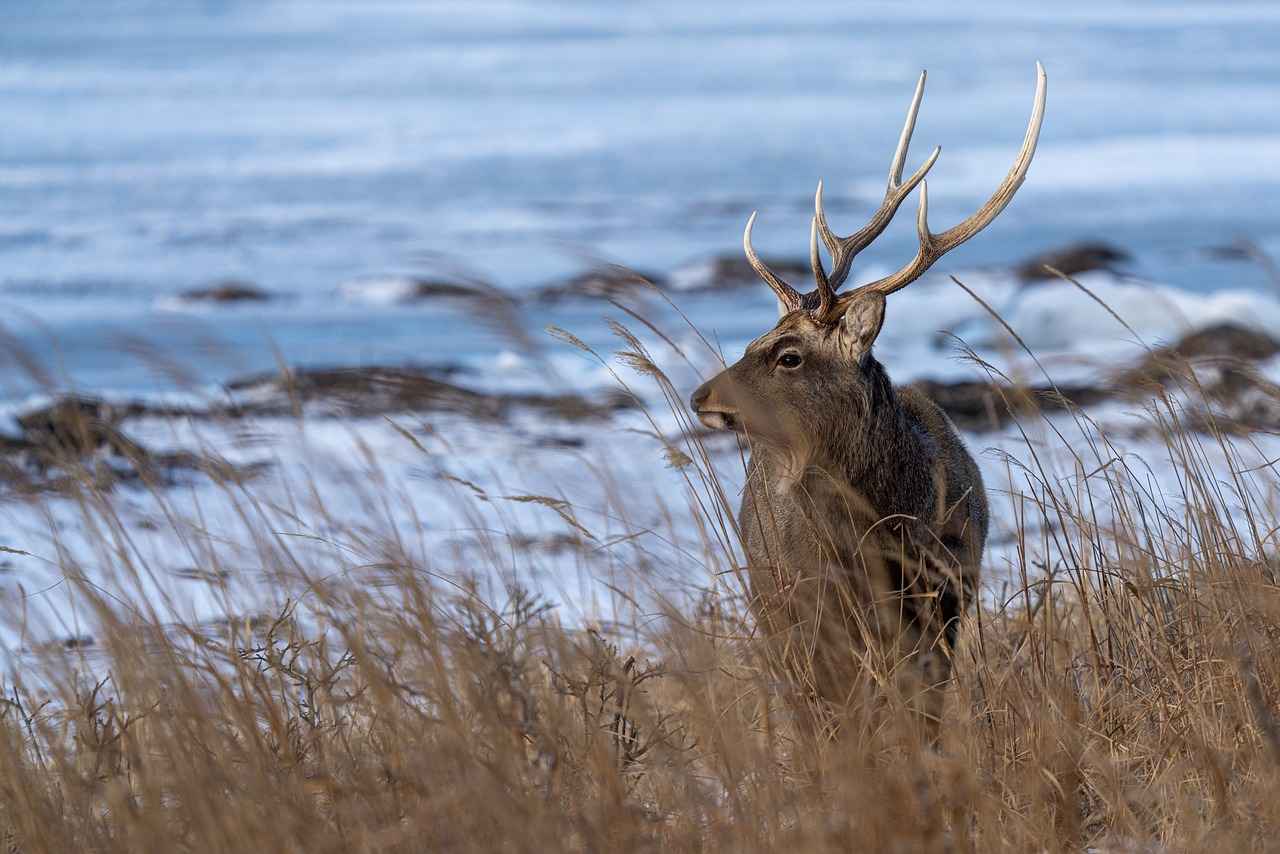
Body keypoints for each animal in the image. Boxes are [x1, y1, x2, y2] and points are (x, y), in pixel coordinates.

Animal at [690, 64, 1046, 739]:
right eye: (753, 340)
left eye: (789, 355)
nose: (701, 395)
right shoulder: (814, 609)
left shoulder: (944, 601)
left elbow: (922, 717)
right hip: (771, 601)